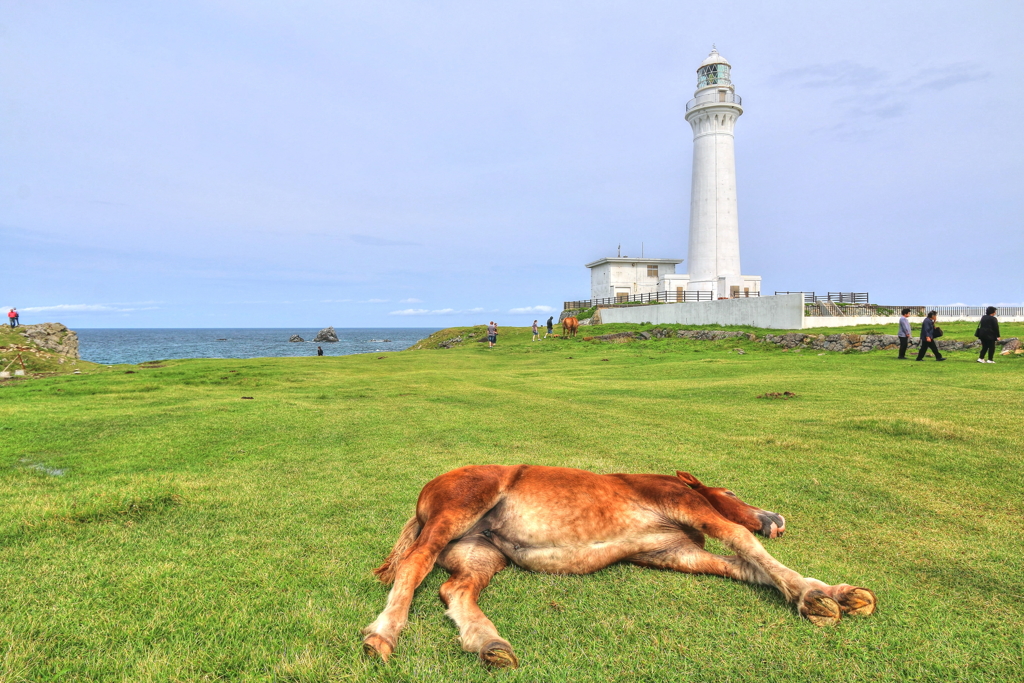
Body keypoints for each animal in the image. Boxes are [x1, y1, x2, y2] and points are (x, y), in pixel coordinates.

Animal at [364, 464, 876, 667]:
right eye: (730, 493)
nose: (778, 519)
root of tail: (426, 495)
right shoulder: (689, 507)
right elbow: (744, 543)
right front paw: (813, 595)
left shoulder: (675, 552)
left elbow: (745, 566)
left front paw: (838, 594)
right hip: (458, 514)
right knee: (415, 565)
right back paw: (382, 634)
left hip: (482, 552)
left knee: (454, 589)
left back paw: (490, 644)